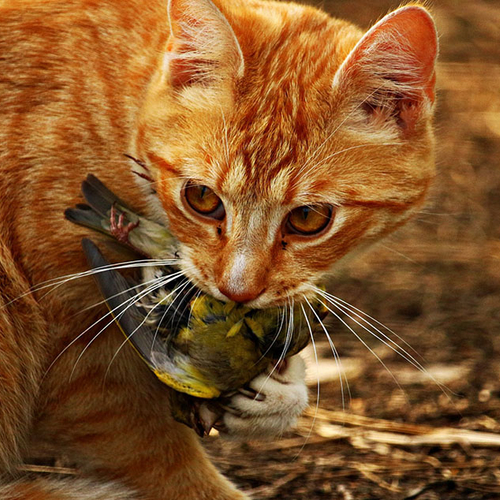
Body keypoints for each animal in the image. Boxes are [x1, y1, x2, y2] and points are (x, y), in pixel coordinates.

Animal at [0, 0, 438, 498]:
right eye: (202, 198)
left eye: (309, 218)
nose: (238, 291)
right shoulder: (84, 365)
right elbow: (165, 460)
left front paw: (278, 392)